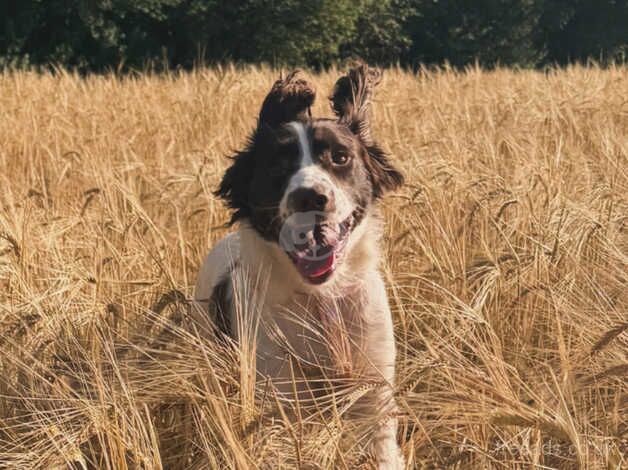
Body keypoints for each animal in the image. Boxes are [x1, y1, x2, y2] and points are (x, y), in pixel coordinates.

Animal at [194, 64, 404, 468]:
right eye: (277, 163)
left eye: (340, 157)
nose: (310, 197)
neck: (321, 300)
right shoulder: (277, 392)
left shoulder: (374, 391)